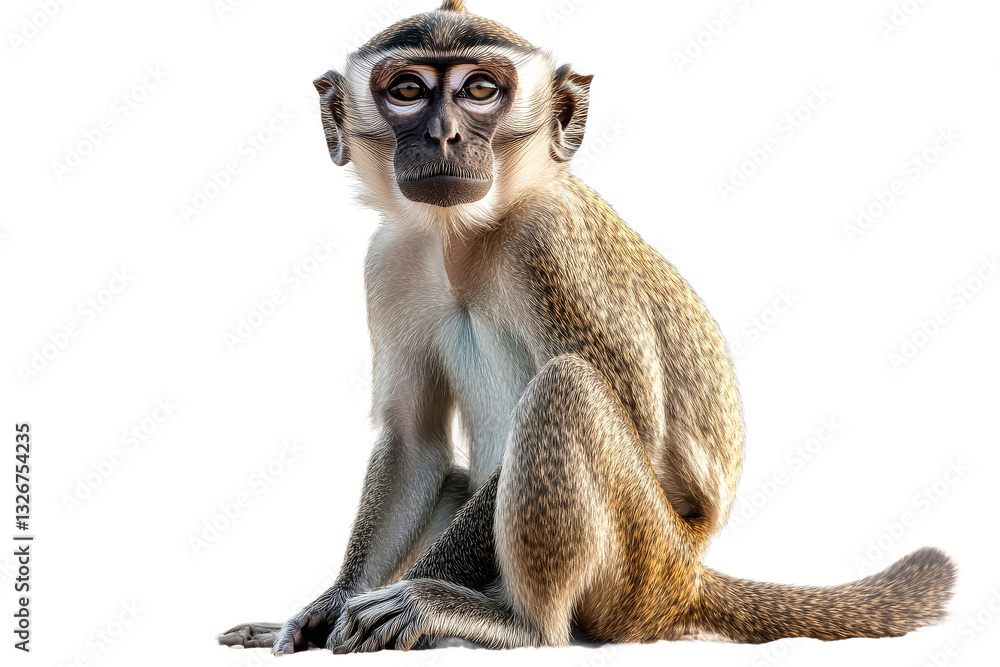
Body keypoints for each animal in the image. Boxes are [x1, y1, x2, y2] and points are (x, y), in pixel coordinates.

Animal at [218, 0, 956, 654]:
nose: (443, 135)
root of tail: (688, 573)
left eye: (480, 89)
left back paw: (515, 624)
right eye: (407, 91)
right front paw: (328, 603)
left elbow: (626, 412)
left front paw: (407, 595)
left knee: (568, 387)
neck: (465, 236)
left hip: (642, 566)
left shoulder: (552, 244)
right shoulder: (391, 259)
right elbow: (413, 440)